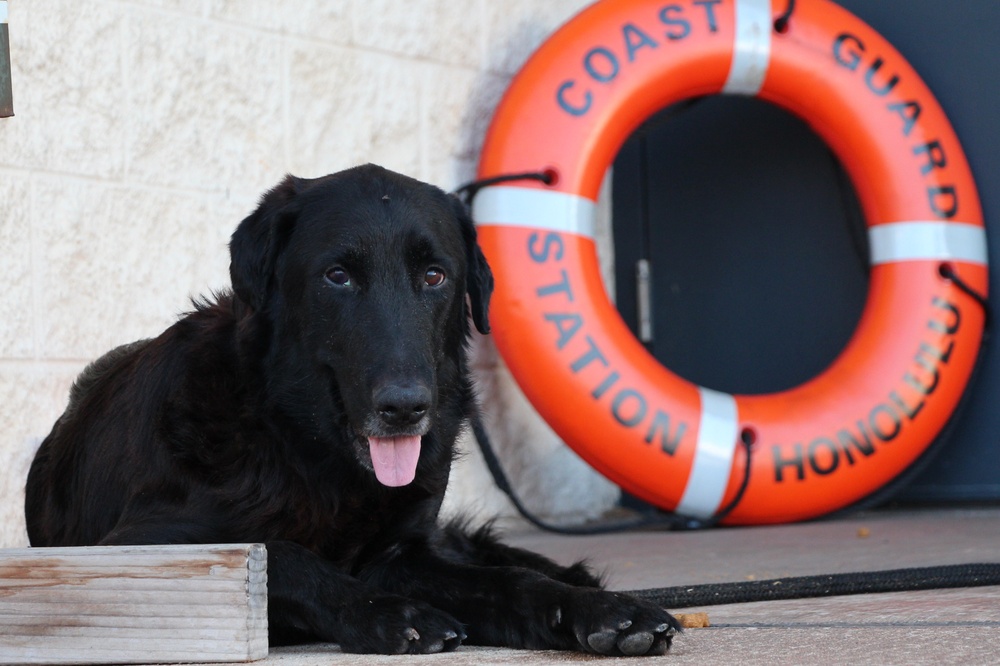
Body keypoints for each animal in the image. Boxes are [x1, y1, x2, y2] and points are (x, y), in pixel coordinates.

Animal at [25, 165, 680, 652]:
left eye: (434, 276)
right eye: (338, 276)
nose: (406, 408)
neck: (304, 450)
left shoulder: (407, 555)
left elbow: (508, 582)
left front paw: (595, 609)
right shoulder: (127, 549)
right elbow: (282, 556)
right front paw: (385, 612)